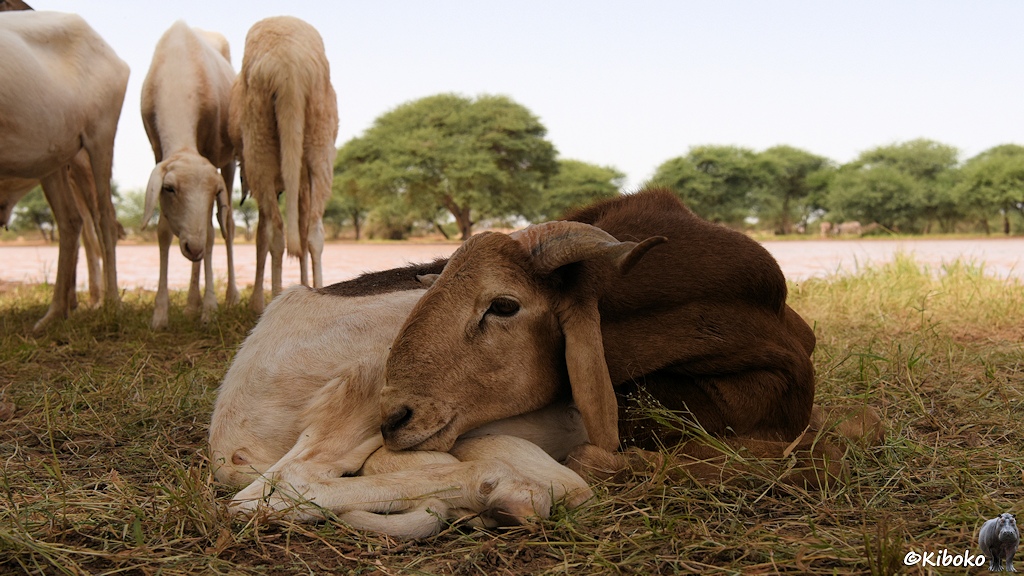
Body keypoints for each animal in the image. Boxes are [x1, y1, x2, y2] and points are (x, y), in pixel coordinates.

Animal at [0, 10, 128, 331]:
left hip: (99, 137)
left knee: (105, 218)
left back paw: (111, 304)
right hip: (54, 154)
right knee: (70, 221)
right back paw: (54, 313)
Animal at [141, 21, 238, 329]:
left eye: (213, 193)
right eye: (169, 188)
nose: (191, 248)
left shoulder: (210, 152)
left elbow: (211, 233)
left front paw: (210, 309)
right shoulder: (157, 148)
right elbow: (162, 232)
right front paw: (160, 315)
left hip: (230, 160)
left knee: (227, 225)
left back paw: (229, 297)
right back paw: (191, 304)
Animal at [228, 16, 339, 313]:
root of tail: (289, 64)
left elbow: (262, 234)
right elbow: (299, 227)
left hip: (259, 134)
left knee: (275, 232)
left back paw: (272, 299)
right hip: (319, 127)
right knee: (311, 231)